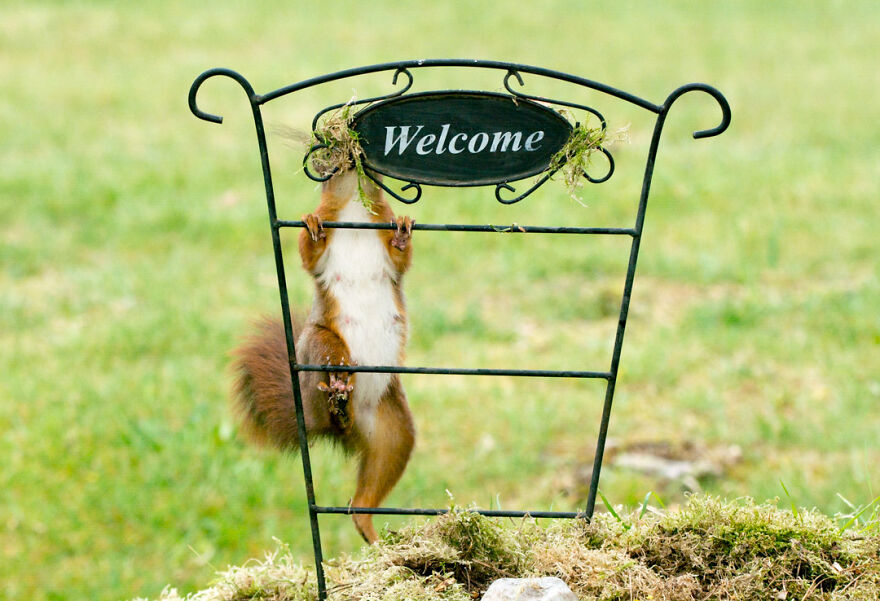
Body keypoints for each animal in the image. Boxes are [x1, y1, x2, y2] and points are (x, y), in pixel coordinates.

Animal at [231, 170, 416, 543]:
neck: (354, 211)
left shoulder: (387, 247)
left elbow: (400, 259)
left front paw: (403, 233)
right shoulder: (321, 256)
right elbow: (309, 255)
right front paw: (314, 228)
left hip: (393, 430)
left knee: (367, 491)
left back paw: (369, 529)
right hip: (320, 343)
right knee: (331, 360)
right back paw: (336, 387)